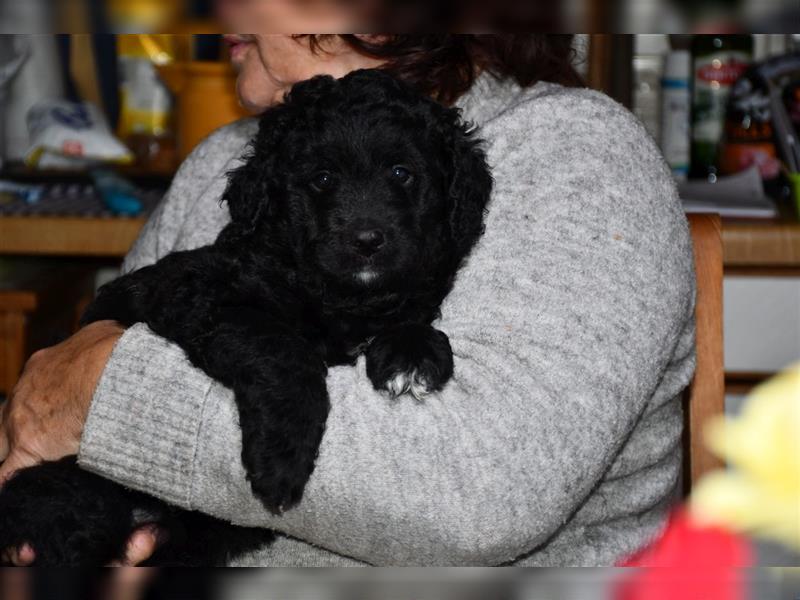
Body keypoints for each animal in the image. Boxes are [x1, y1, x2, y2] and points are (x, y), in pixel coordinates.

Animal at [0, 70, 494, 568]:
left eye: (401, 173)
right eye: (322, 178)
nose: (367, 240)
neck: (340, 298)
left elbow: (409, 307)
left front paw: (413, 351)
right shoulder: (206, 301)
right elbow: (284, 352)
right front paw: (282, 459)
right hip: (74, 497)